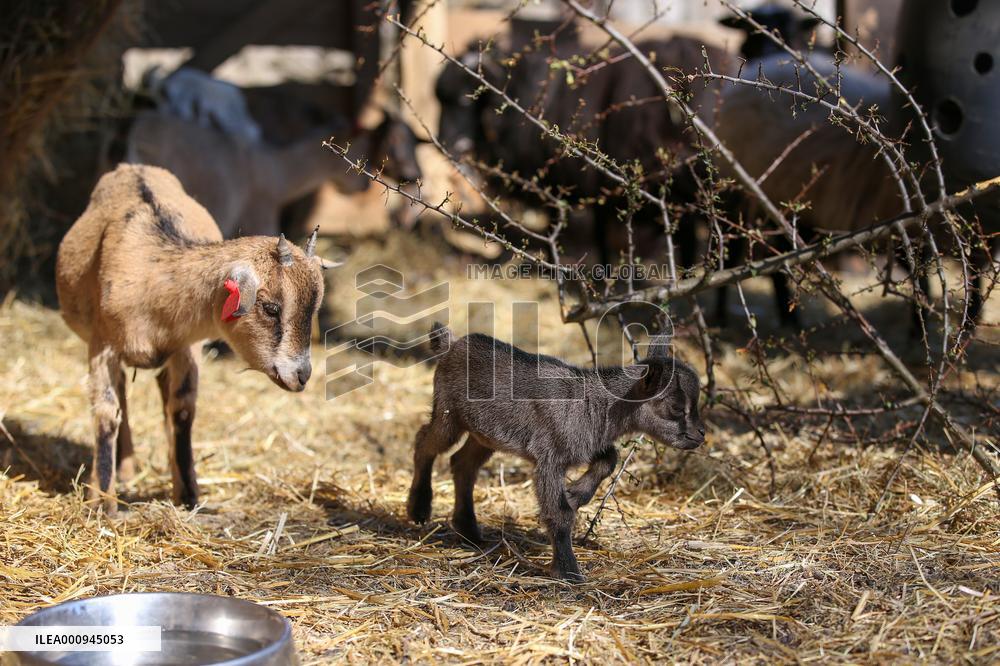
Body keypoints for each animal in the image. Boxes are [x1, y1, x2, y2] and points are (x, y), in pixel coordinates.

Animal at [56, 163, 336, 514]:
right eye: (272, 308)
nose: (302, 375)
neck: (151, 278)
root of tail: (132, 167)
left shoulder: (186, 348)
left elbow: (183, 409)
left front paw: (188, 494)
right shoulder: (101, 345)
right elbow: (107, 413)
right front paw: (103, 503)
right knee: (121, 395)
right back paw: (125, 468)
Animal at [406, 324, 705, 582]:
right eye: (676, 408)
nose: (701, 434)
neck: (594, 405)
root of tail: (451, 344)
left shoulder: (585, 444)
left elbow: (609, 459)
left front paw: (575, 494)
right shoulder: (550, 457)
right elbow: (560, 514)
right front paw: (568, 571)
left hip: (485, 434)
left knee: (463, 464)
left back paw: (469, 531)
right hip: (449, 414)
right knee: (424, 443)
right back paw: (419, 508)